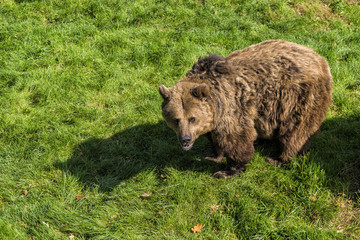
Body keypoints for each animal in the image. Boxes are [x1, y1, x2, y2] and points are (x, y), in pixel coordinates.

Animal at [159, 39, 334, 178]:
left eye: (192, 118)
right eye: (175, 119)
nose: (185, 139)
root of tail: (320, 59)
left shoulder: (232, 109)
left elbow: (235, 139)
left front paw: (227, 171)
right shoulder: (215, 117)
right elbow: (214, 137)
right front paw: (213, 154)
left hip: (297, 97)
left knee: (296, 131)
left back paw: (279, 158)